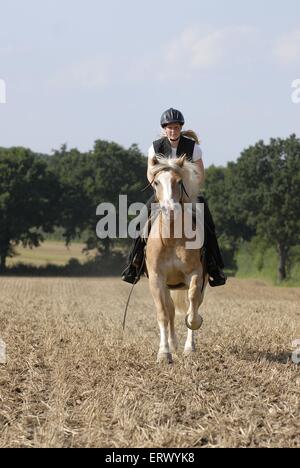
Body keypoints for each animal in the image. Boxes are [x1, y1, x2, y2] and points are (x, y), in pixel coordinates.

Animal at [145, 155, 209, 364]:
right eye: (156, 182)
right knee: (171, 309)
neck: (172, 237)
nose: (171, 210)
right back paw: (172, 344)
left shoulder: (196, 274)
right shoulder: (157, 278)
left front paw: (193, 328)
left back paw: (189, 346)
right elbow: (164, 314)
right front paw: (164, 353)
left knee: (192, 304)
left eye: (179, 182)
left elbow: (192, 305)